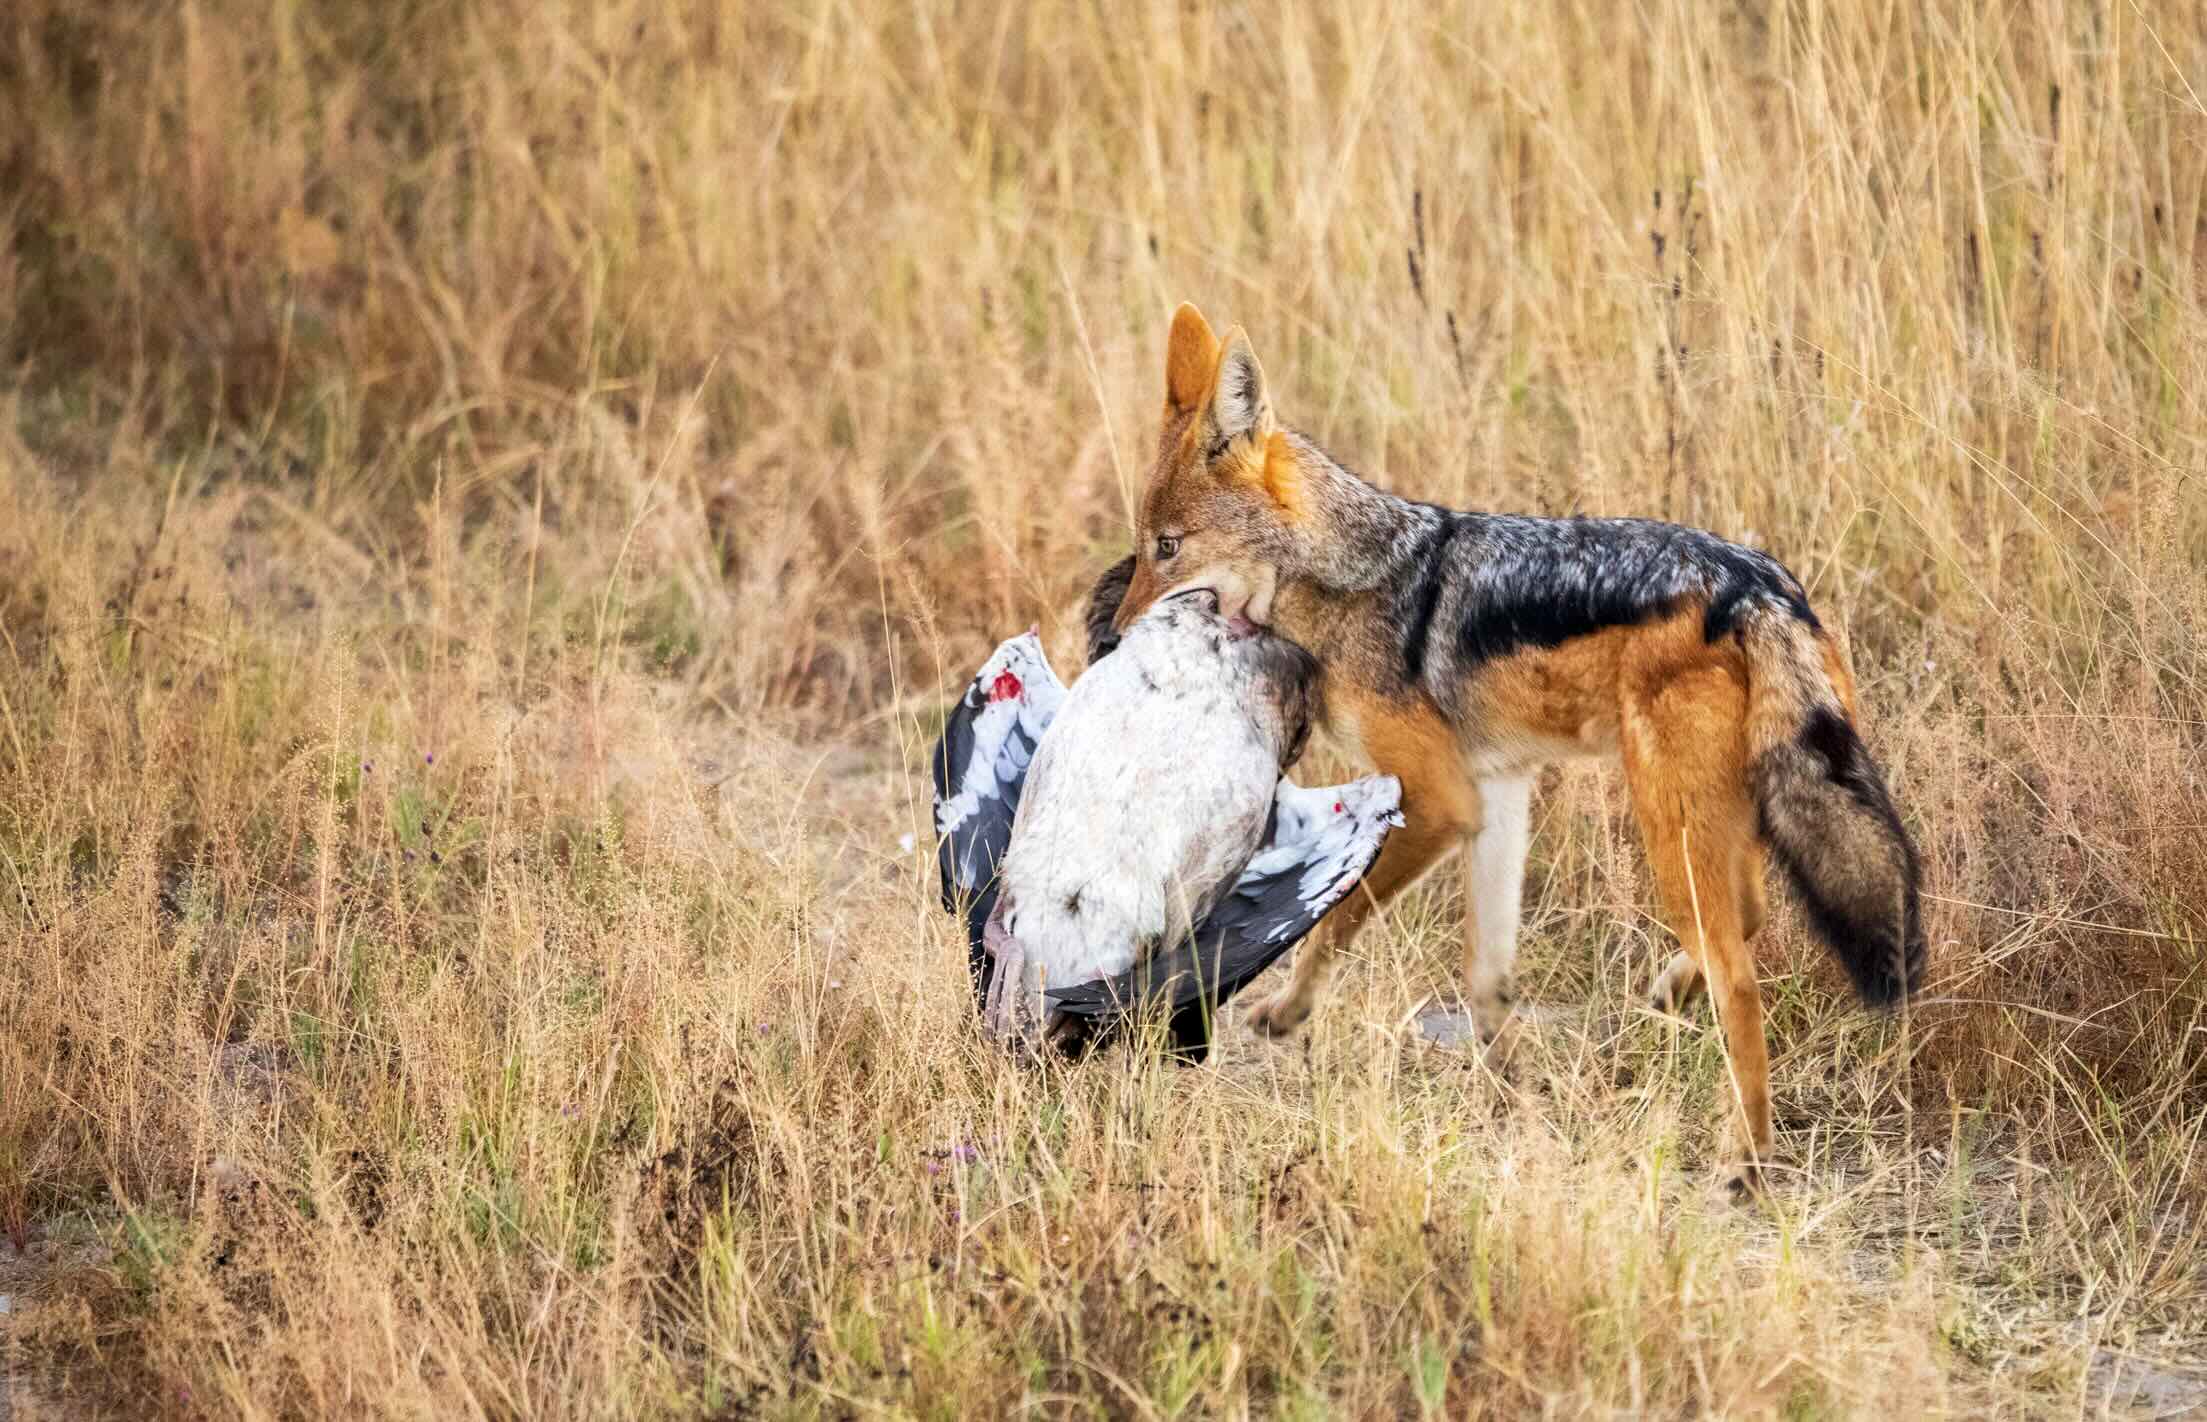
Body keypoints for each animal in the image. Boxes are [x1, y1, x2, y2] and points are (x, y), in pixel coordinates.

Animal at [1090, 302, 1927, 1193]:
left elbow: (1333, 924)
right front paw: (1510, 1097)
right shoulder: (1495, 793)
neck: (1347, 580)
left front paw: (1284, 1014)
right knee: (1747, 919)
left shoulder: (1437, 801)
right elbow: (1485, 977)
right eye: (1144, 545)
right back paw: (1668, 997)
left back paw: (1744, 1160)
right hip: (1705, 823)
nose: (1110, 636)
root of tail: (1761, 591)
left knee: (1738, 975)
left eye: (1168, 547)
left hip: (1665, 823)